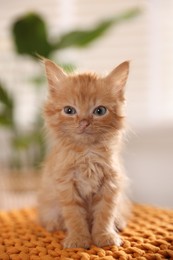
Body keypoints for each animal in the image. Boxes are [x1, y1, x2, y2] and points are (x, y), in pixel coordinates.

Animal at [37, 59, 130, 248]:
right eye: (69, 110)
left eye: (100, 111)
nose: (84, 122)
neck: (87, 155)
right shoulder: (66, 184)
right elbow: (74, 216)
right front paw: (78, 239)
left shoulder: (110, 184)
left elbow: (105, 214)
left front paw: (105, 236)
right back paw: (54, 224)